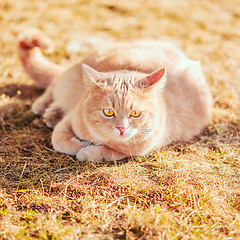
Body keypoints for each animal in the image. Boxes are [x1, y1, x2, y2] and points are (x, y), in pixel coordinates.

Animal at [18, 29, 212, 162]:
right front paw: (81, 145)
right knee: (54, 84)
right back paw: (45, 108)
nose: (121, 128)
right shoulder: (69, 120)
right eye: (108, 112)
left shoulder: (144, 146)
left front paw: (89, 151)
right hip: (70, 77)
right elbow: (59, 140)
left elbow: (112, 152)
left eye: (135, 113)